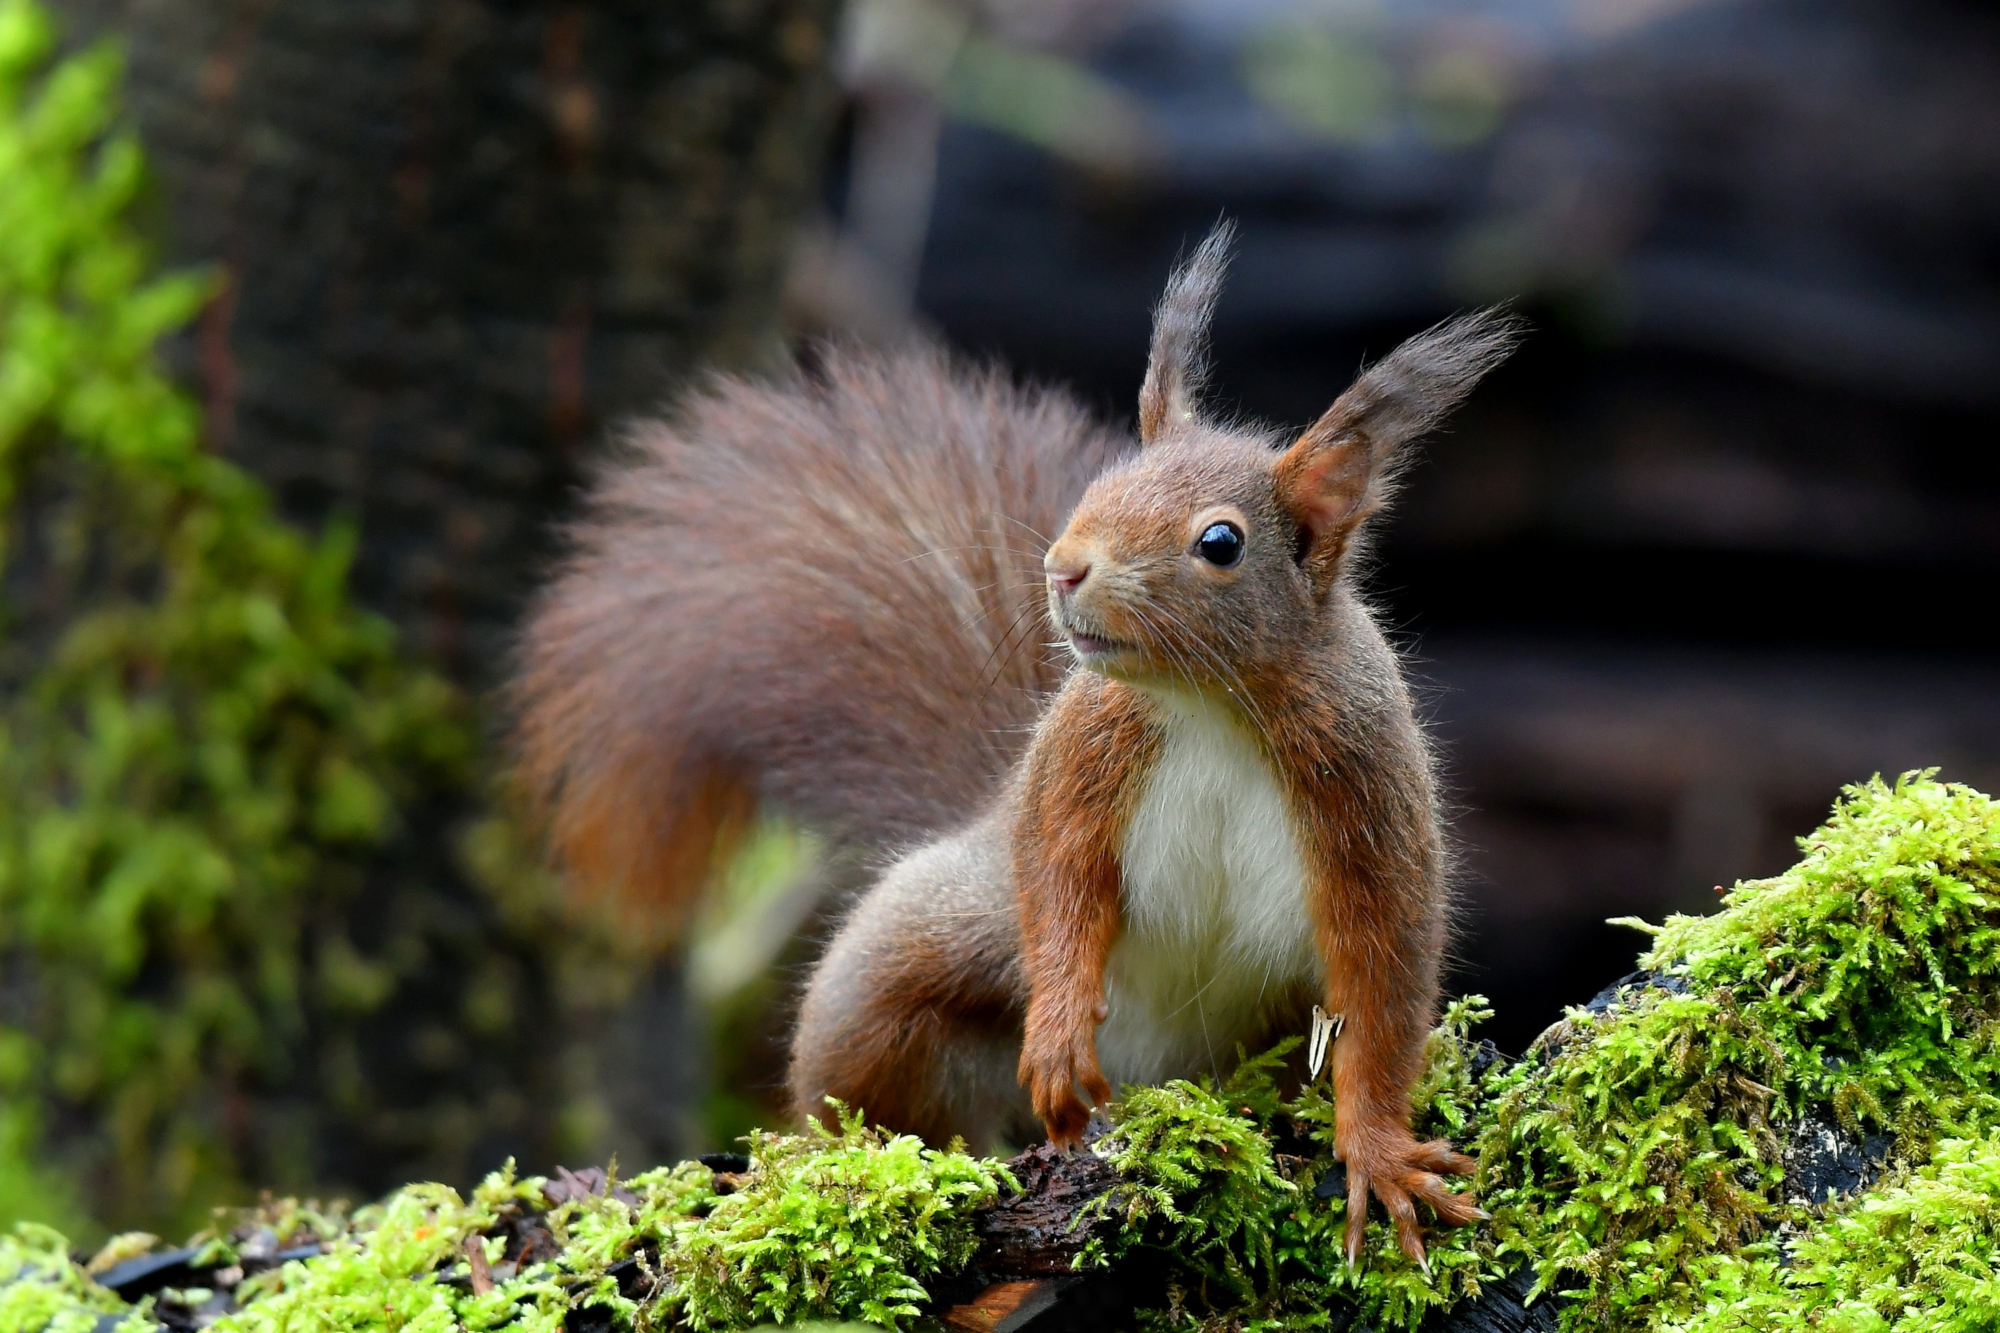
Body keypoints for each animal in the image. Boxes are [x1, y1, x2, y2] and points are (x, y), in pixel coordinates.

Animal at [512, 218, 1512, 1256]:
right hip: (913, 957)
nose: (1064, 567)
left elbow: (1384, 981)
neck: (1210, 703)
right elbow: (1058, 876)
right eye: (1102, 482)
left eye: (1221, 543)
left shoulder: (1363, 781)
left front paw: (1379, 1152)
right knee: (877, 1074)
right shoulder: (1082, 750)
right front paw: (1061, 1030)